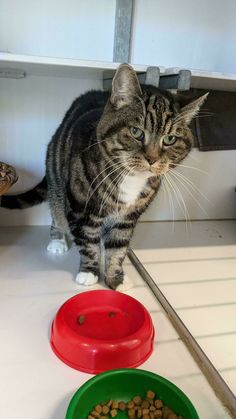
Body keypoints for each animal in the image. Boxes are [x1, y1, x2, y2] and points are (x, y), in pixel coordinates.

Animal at [2, 64, 208, 290]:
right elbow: (87, 241)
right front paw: (89, 272)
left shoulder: (127, 218)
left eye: (170, 139)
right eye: (136, 132)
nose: (152, 159)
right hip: (56, 179)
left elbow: (118, 247)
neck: (130, 177)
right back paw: (57, 241)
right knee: (56, 211)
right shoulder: (81, 209)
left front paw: (115, 277)